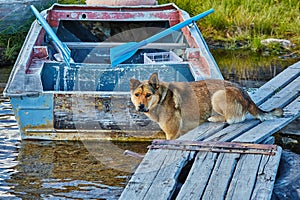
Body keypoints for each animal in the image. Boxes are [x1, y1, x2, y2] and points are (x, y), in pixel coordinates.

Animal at [129, 72, 284, 140]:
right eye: (137, 95)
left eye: (148, 95)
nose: (140, 106)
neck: (161, 98)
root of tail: (246, 95)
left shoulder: (172, 134)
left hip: (218, 96)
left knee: (233, 119)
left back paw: (212, 118)